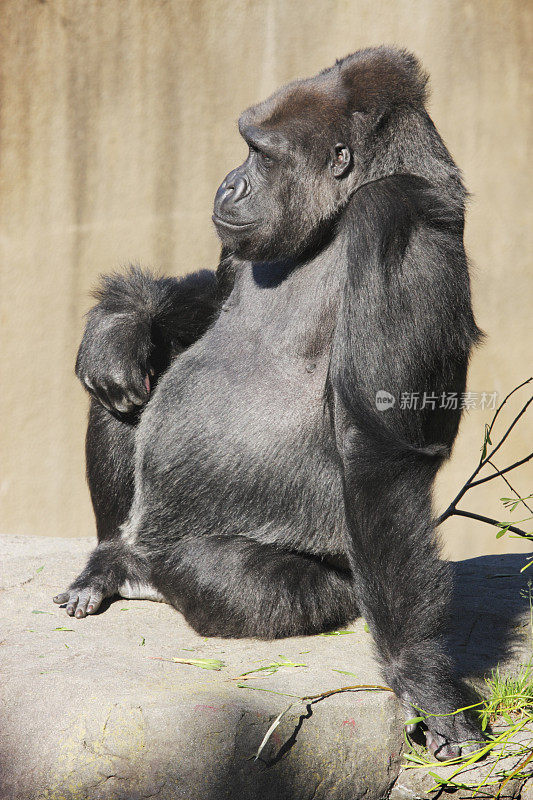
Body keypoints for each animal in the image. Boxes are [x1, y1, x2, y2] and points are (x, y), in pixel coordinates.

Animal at [53, 47, 482, 760]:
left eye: (260, 153)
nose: (229, 185)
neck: (337, 214)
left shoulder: (398, 218)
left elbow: (377, 449)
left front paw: (422, 676)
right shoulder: (243, 243)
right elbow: (204, 297)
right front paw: (119, 322)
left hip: (341, 584)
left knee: (218, 572)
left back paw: (139, 568)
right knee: (121, 394)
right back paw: (110, 554)